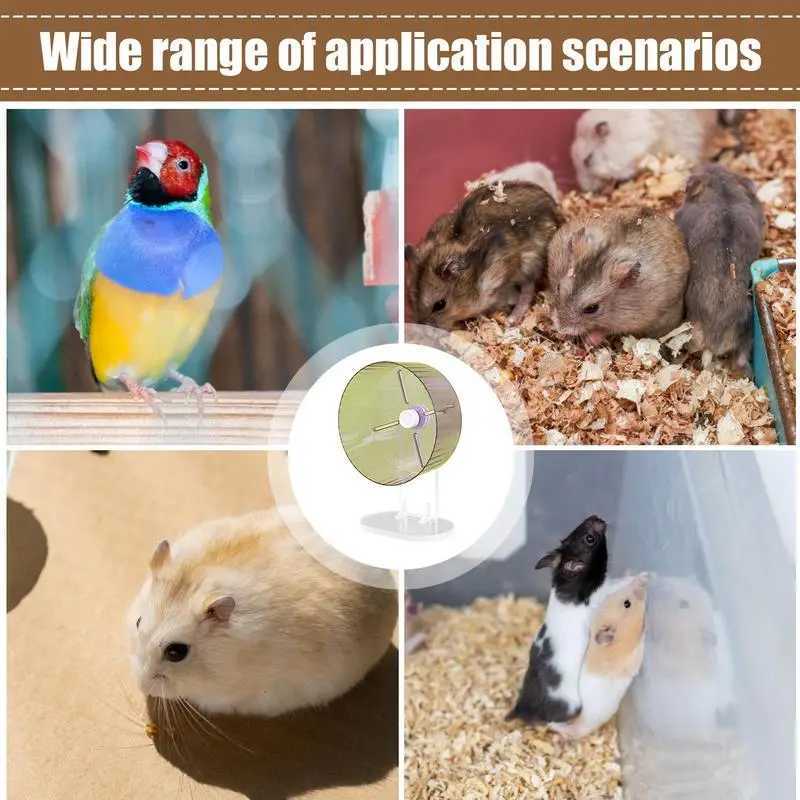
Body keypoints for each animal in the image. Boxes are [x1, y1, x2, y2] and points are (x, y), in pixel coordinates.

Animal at [406, 181, 563, 329]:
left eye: (440, 305)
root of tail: (558, 213)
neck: (471, 277)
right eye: (411, 300)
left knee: (528, 289)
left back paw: (511, 319)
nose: (421, 324)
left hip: (530, 263)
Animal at [547, 207, 690, 344]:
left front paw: (590, 340)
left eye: (592, 308)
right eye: (558, 288)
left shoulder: (633, 320)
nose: (560, 328)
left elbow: (606, 330)